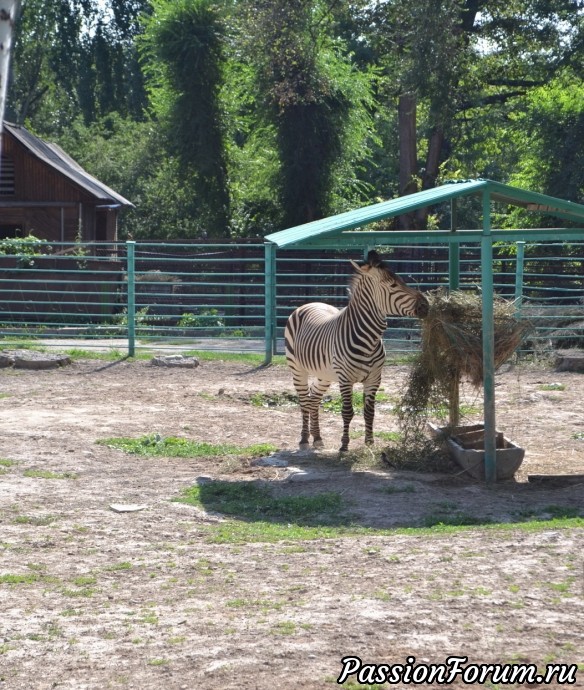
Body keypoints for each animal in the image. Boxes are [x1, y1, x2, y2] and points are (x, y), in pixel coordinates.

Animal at [284, 247, 428, 452]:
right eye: (393, 285)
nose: (426, 306)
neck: (369, 339)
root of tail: (311, 303)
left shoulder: (375, 378)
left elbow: (369, 412)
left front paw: (369, 443)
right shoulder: (345, 378)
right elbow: (347, 412)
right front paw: (344, 445)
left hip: (324, 374)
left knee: (314, 399)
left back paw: (317, 438)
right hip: (297, 369)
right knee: (304, 401)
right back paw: (304, 439)